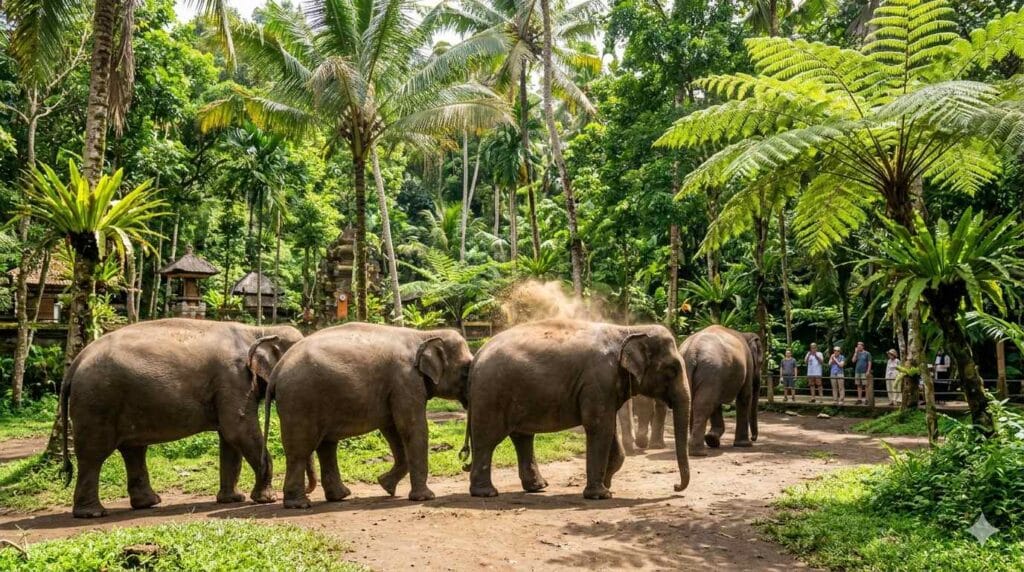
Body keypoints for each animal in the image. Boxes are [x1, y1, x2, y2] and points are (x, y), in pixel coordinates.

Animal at [61, 318, 303, 518]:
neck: (258, 330)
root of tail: (76, 362)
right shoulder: (234, 377)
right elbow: (238, 429)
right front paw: (266, 499)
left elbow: (229, 439)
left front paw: (233, 499)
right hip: (96, 400)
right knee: (94, 454)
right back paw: (92, 513)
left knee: (133, 450)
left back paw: (148, 503)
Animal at [267, 323, 473, 508]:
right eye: (465, 371)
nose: (464, 461)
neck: (424, 335)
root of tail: (277, 369)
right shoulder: (406, 380)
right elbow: (411, 427)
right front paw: (425, 498)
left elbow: (392, 430)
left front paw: (386, 486)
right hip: (300, 400)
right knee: (300, 450)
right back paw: (300, 504)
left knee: (326, 446)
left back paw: (340, 496)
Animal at [466, 319, 691, 500]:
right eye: (672, 370)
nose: (675, 487)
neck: (628, 330)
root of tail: (476, 356)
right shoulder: (599, 380)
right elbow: (599, 427)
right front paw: (601, 495)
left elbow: (609, 429)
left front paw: (607, 484)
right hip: (491, 395)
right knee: (487, 440)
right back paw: (487, 493)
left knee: (522, 438)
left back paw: (538, 487)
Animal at [681, 325, 763, 456]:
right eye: (761, 362)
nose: (753, 438)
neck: (745, 335)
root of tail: (692, 351)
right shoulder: (748, 364)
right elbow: (744, 397)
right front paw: (744, 445)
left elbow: (717, 403)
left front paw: (712, 439)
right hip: (712, 370)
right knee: (704, 404)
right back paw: (699, 452)